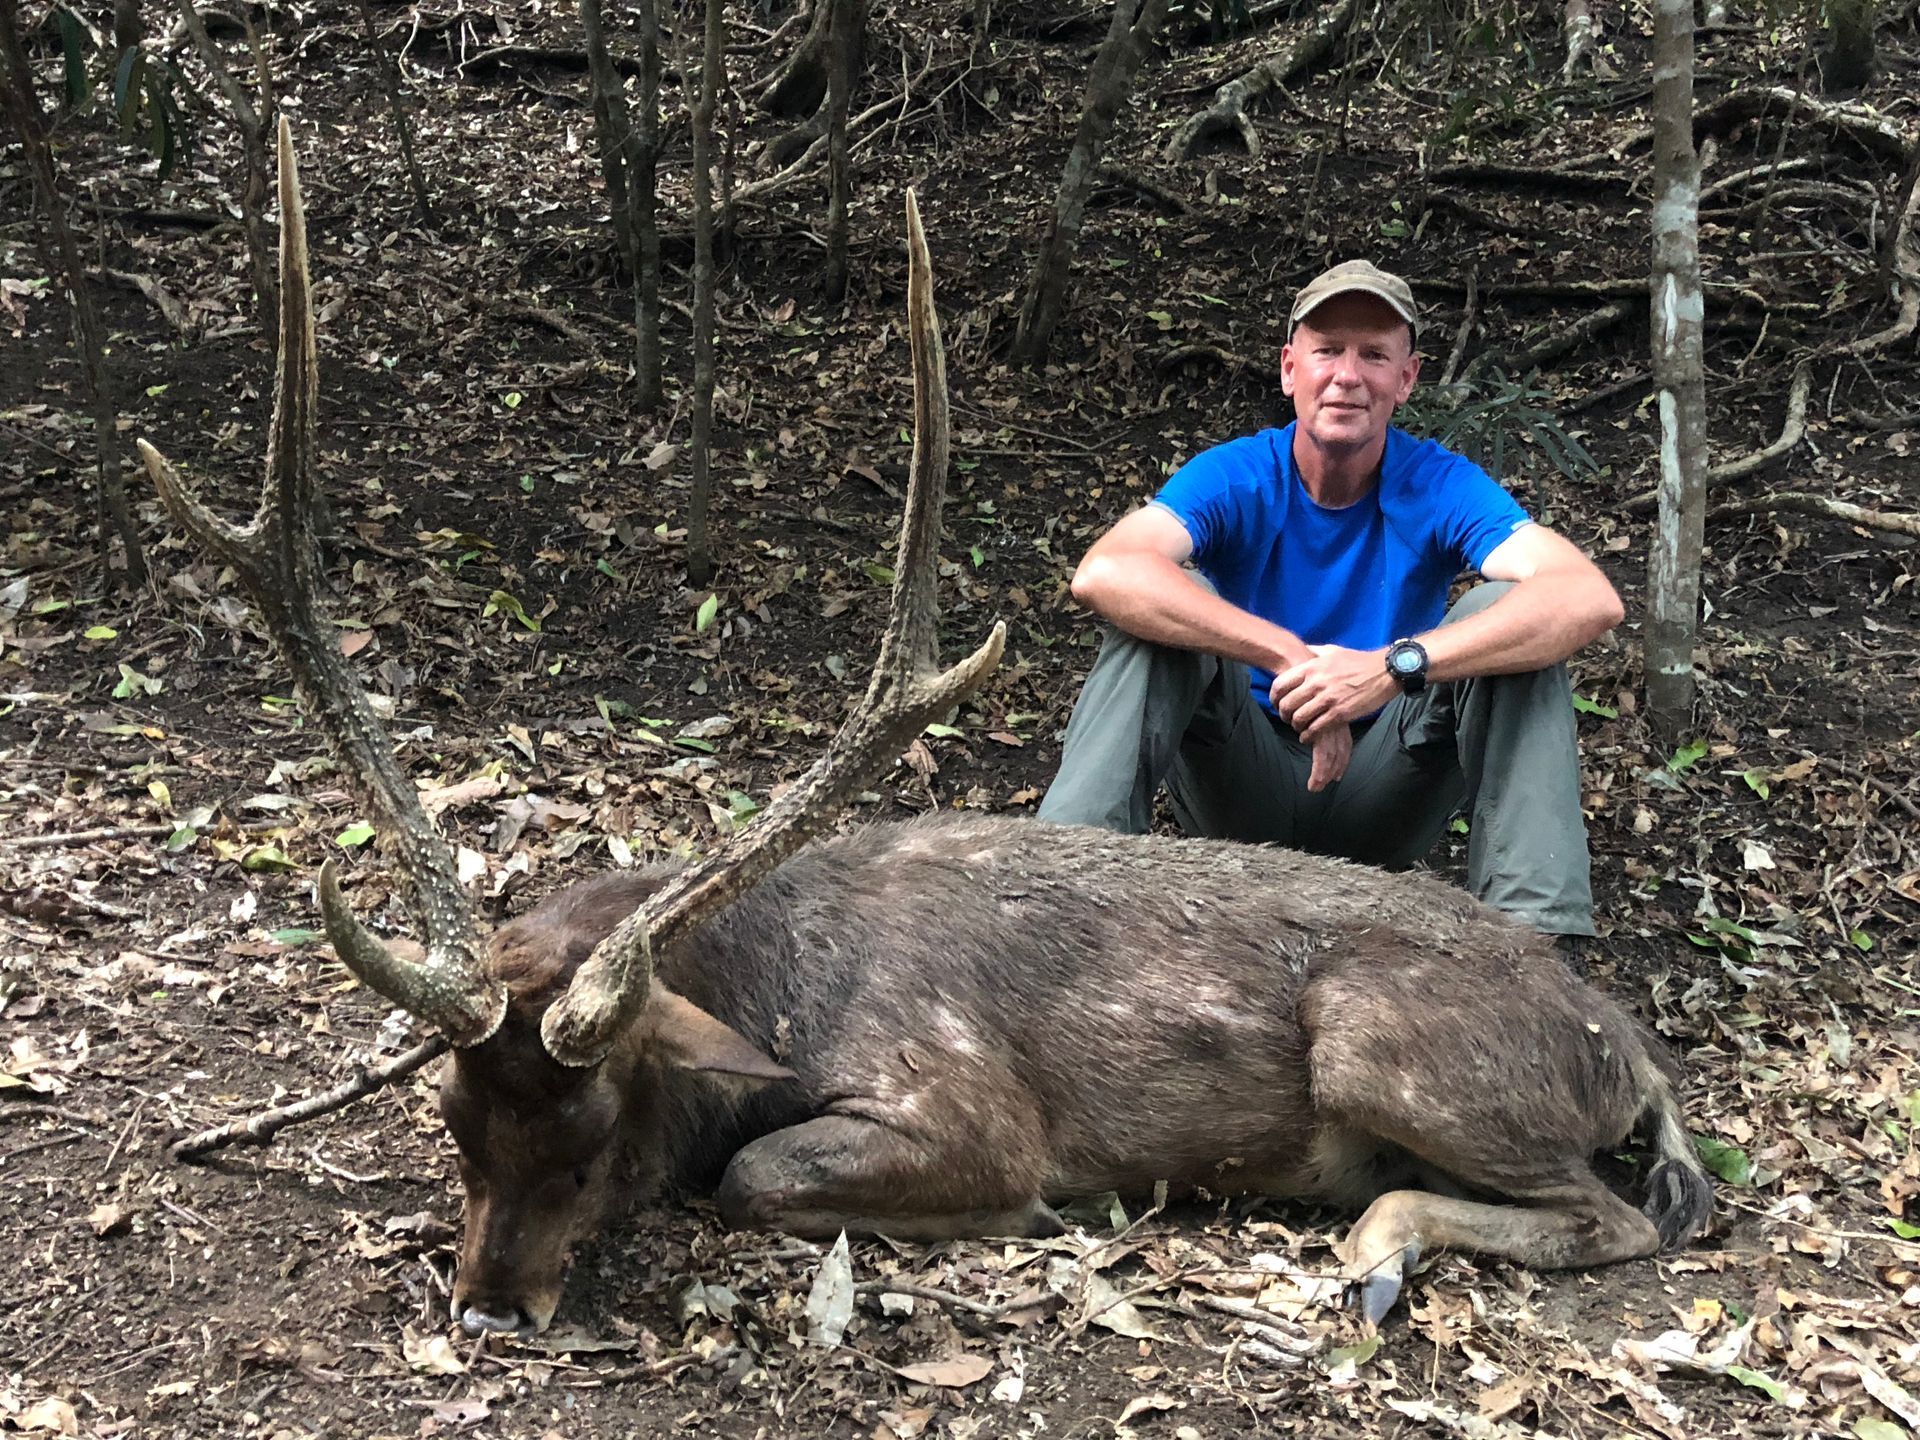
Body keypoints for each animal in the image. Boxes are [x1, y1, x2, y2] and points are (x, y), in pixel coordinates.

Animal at [147, 120, 1711, 1342]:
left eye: (595, 1144)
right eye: (454, 1126)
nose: (486, 1306)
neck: (762, 987)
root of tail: (1630, 1049)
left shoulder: (959, 1104)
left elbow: (759, 1179)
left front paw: (1010, 1224)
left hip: (1392, 1047)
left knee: (1623, 1218)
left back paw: (1376, 1251)